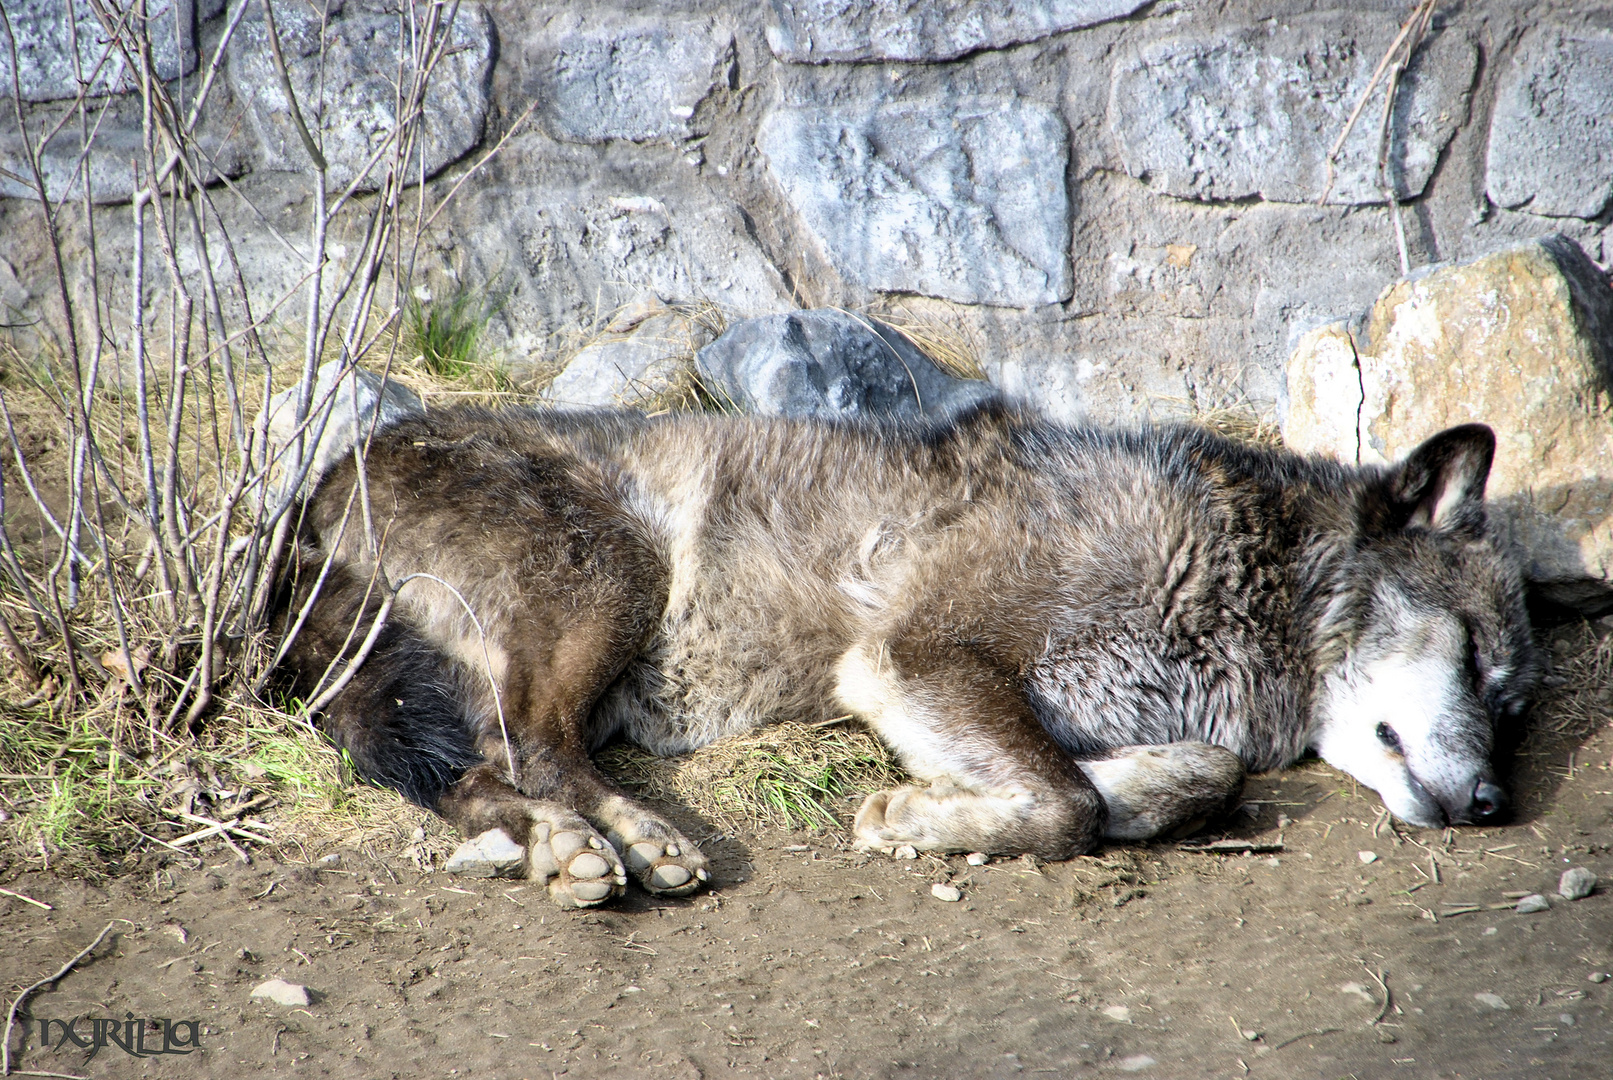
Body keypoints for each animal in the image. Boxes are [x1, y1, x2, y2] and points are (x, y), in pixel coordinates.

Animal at [277, 401, 1535, 909]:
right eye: (1473, 654)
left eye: (1511, 704)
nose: (1488, 805)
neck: (1228, 578)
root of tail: (322, 479)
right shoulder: (910, 656)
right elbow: (1061, 804)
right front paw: (923, 820)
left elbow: (1185, 777)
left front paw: (952, 802)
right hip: (611, 577)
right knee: (534, 749)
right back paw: (625, 835)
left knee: (472, 773)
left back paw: (558, 849)